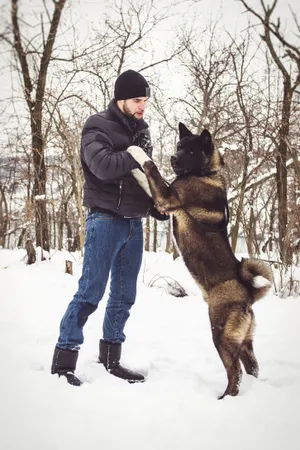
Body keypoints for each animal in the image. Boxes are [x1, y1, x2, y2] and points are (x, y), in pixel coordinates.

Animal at [127, 122, 274, 398]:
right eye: (178, 146)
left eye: (192, 151)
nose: (173, 158)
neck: (204, 173)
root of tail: (248, 294)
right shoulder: (163, 202)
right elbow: (148, 176)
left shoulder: (167, 197)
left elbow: (150, 169)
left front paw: (134, 155)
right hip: (244, 341)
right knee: (252, 366)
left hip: (221, 336)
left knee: (235, 372)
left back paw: (226, 397)